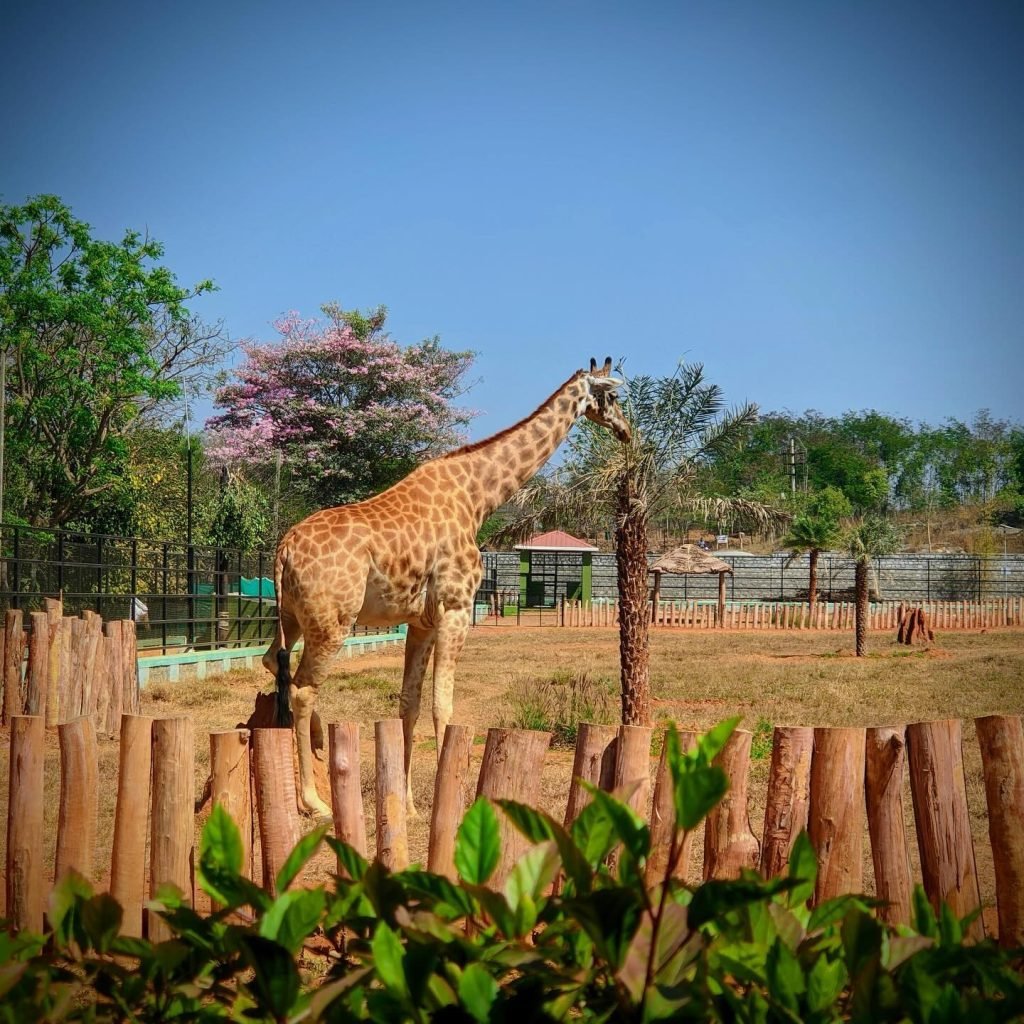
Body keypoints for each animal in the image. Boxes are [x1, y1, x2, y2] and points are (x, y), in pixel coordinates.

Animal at [262, 360, 630, 815]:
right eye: (612, 395)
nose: (626, 430)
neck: (477, 496)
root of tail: (284, 549)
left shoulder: (420, 621)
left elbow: (410, 703)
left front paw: (408, 804)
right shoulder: (456, 607)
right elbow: (443, 704)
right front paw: (448, 796)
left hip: (292, 617)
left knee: (275, 666)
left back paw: (315, 744)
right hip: (333, 622)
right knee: (303, 689)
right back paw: (313, 801)